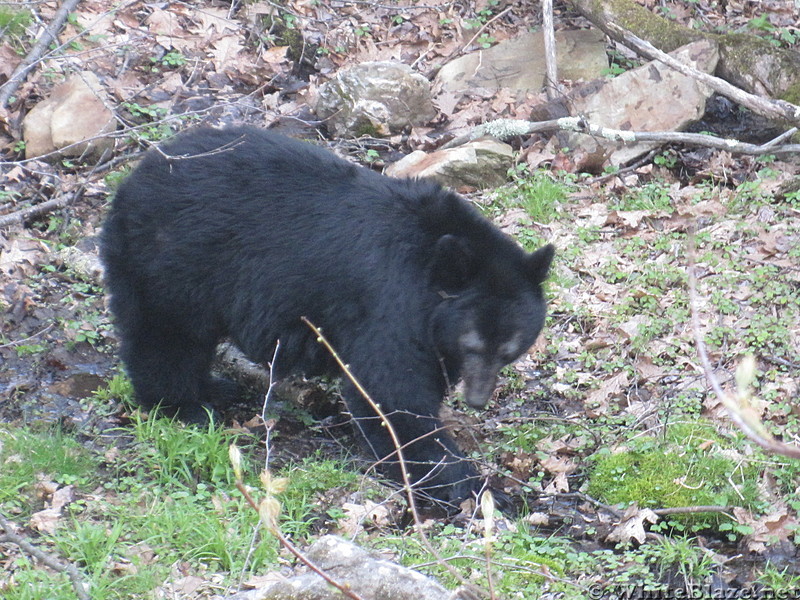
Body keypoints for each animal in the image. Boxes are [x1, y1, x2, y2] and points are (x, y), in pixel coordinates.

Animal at [100, 126, 552, 506]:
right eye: (473, 344)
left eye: (509, 350)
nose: (477, 399)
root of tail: (134, 176)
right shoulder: (387, 302)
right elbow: (391, 392)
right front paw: (469, 484)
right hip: (173, 259)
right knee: (167, 337)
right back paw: (182, 405)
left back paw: (214, 387)